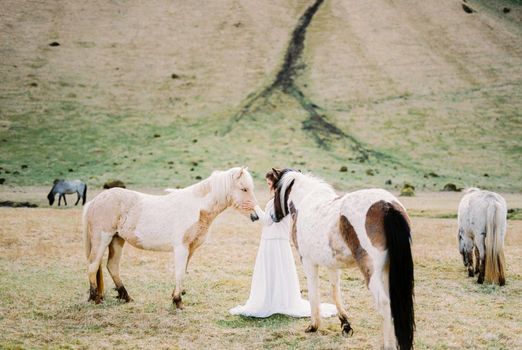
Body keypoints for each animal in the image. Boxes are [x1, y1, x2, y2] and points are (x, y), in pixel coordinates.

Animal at [82, 167, 258, 306]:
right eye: (244, 189)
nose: (255, 216)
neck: (196, 208)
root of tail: (95, 201)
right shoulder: (181, 248)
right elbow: (179, 273)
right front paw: (178, 301)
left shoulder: (190, 249)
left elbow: (183, 271)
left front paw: (175, 296)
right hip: (102, 239)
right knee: (93, 265)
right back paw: (96, 298)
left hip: (117, 240)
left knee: (112, 266)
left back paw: (126, 297)